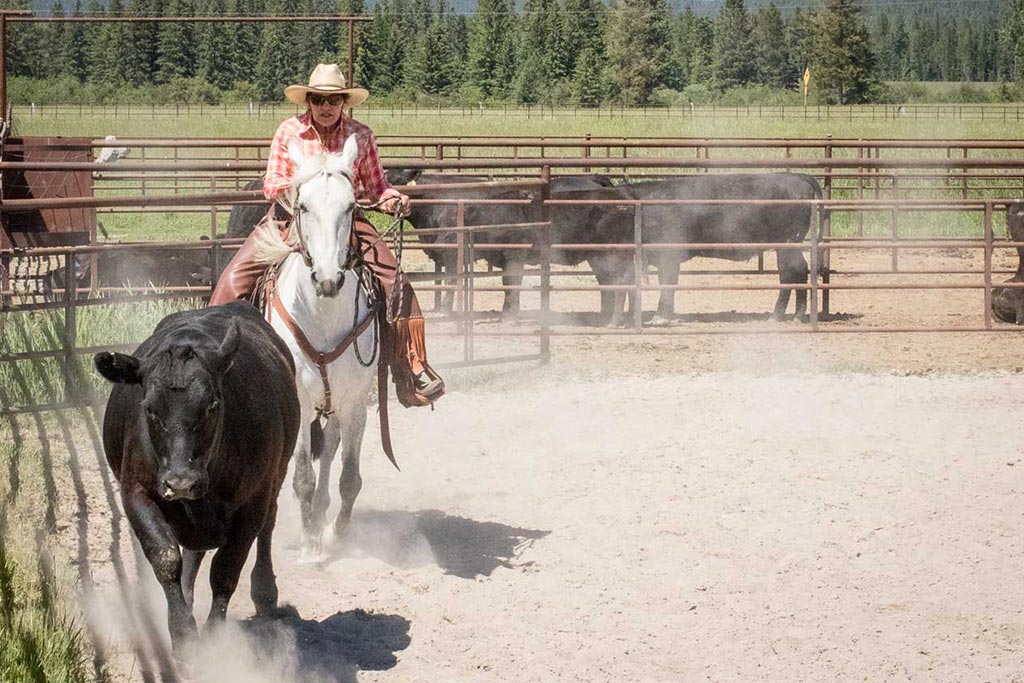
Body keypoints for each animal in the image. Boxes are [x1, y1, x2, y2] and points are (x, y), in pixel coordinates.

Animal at [95, 301, 299, 659]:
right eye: (149, 408)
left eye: (211, 405)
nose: (180, 482)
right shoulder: (136, 492)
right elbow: (166, 558)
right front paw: (182, 633)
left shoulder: (253, 502)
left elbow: (226, 569)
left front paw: (215, 640)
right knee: (192, 552)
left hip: (276, 477)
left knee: (267, 528)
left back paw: (265, 590)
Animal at [253, 133, 378, 561]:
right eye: (303, 206)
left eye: (351, 205)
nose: (327, 280)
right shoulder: (300, 400)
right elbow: (303, 476)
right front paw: (309, 544)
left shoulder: (355, 402)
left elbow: (350, 477)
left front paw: (337, 536)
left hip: (336, 403)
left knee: (334, 445)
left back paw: (324, 516)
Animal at [614, 171, 823, 321]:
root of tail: (797, 177)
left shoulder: (669, 254)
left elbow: (668, 283)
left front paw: (661, 316)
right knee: (797, 271)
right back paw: (796, 315)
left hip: (787, 243)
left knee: (791, 272)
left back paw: (778, 316)